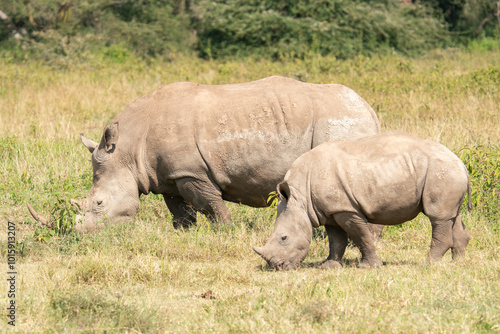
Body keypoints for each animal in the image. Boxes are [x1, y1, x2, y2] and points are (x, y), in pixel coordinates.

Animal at [27, 75, 378, 232]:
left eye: (99, 203)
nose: (79, 233)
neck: (127, 150)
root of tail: (369, 109)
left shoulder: (191, 172)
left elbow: (211, 205)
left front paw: (227, 232)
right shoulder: (167, 176)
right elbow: (180, 211)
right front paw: (186, 234)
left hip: (339, 121)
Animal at [254, 130, 472, 268]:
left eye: (284, 238)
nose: (278, 266)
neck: (300, 198)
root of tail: (461, 163)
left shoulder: (346, 209)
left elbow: (361, 237)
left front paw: (368, 266)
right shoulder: (330, 210)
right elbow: (336, 241)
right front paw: (328, 266)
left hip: (441, 172)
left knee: (438, 217)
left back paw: (429, 265)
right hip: (447, 174)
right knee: (452, 216)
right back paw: (458, 263)